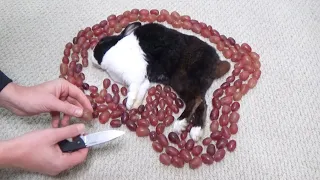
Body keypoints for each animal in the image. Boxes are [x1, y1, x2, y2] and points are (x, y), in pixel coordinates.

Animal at [90, 21, 230, 141]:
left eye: (102, 42)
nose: (91, 56)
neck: (115, 49)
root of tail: (216, 63)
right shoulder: (144, 81)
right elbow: (140, 91)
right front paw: (136, 105)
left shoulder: (136, 75)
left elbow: (133, 89)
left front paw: (129, 104)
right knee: (202, 103)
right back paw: (196, 131)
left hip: (182, 79)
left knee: (196, 100)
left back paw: (180, 123)